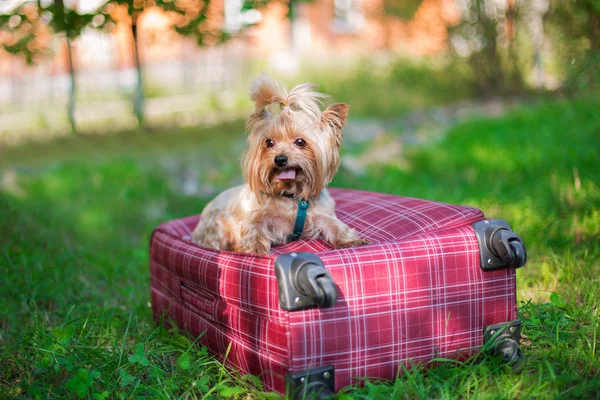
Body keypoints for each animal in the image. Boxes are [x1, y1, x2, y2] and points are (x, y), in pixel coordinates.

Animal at [192, 74, 368, 253]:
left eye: (300, 142)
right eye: (269, 142)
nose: (280, 159)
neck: (292, 194)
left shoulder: (322, 214)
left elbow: (336, 226)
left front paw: (351, 241)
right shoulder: (257, 218)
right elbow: (254, 231)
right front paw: (255, 251)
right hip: (215, 225)